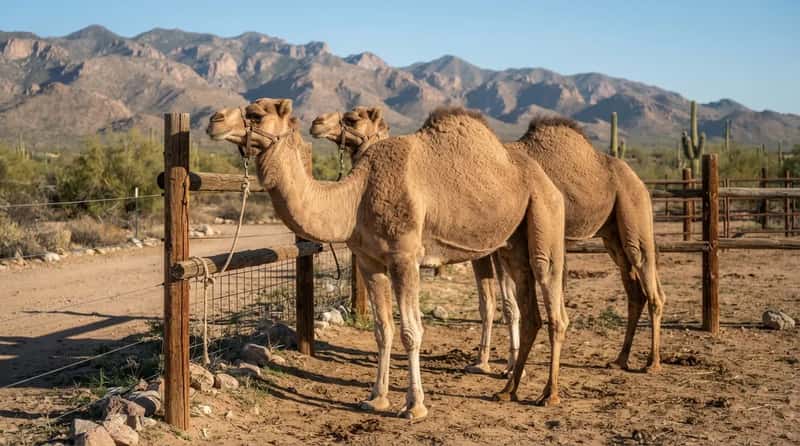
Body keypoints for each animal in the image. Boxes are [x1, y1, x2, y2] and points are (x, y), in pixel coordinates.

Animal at [207, 98, 568, 418]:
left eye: (255, 113)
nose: (214, 119)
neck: (355, 197)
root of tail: (545, 179)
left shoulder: (405, 258)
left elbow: (411, 331)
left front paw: (414, 406)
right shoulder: (370, 262)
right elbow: (383, 330)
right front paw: (376, 399)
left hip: (546, 216)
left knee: (552, 299)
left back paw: (548, 395)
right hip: (511, 242)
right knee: (529, 309)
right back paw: (508, 390)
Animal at [311, 109, 666, 378]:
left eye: (352, 117)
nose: (317, 122)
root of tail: (634, 174)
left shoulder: (496, 247)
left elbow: (508, 306)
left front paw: (511, 366)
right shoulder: (484, 249)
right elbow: (490, 304)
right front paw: (483, 361)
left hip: (633, 210)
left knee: (647, 275)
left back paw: (651, 363)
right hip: (611, 233)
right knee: (633, 287)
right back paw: (620, 359)